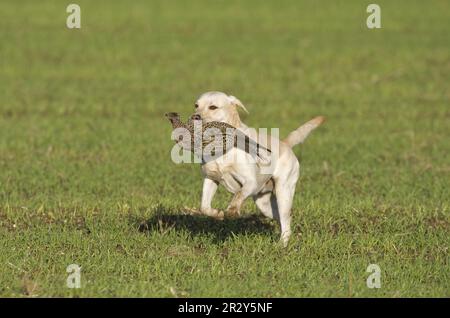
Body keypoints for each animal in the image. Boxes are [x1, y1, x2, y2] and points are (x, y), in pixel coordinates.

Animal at [193, 92, 324, 246]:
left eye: (213, 107)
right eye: (196, 105)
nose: (195, 117)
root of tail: (285, 144)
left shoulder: (250, 182)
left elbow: (238, 195)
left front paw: (232, 211)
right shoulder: (211, 179)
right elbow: (204, 207)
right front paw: (217, 214)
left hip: (283, 193)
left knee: (286, 221)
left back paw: (281, 245)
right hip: (264, 204)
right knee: (282, 220)